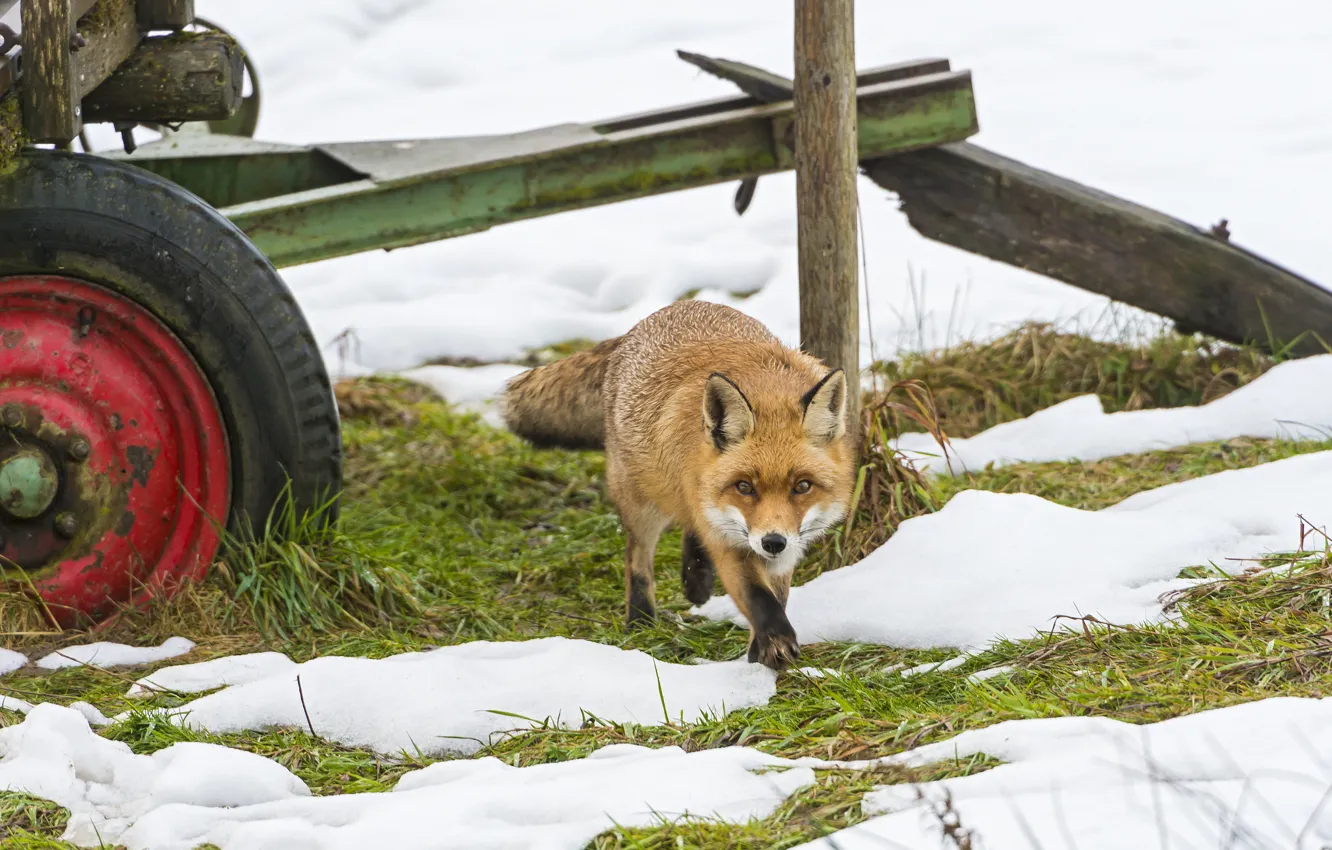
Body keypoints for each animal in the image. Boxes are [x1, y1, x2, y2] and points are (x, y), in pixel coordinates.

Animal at [500, 303, 852, 668]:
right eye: (744, 487)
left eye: (802, 486)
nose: (773, 542)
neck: (768, 386)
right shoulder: (730, 542)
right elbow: (759, 598)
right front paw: (774, 642)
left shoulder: (783, 542)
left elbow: (776, 596)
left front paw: (758, 650)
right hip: (641, 502)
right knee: (637, 558)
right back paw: (640, 621)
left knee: (689, 527)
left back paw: (695, 581)